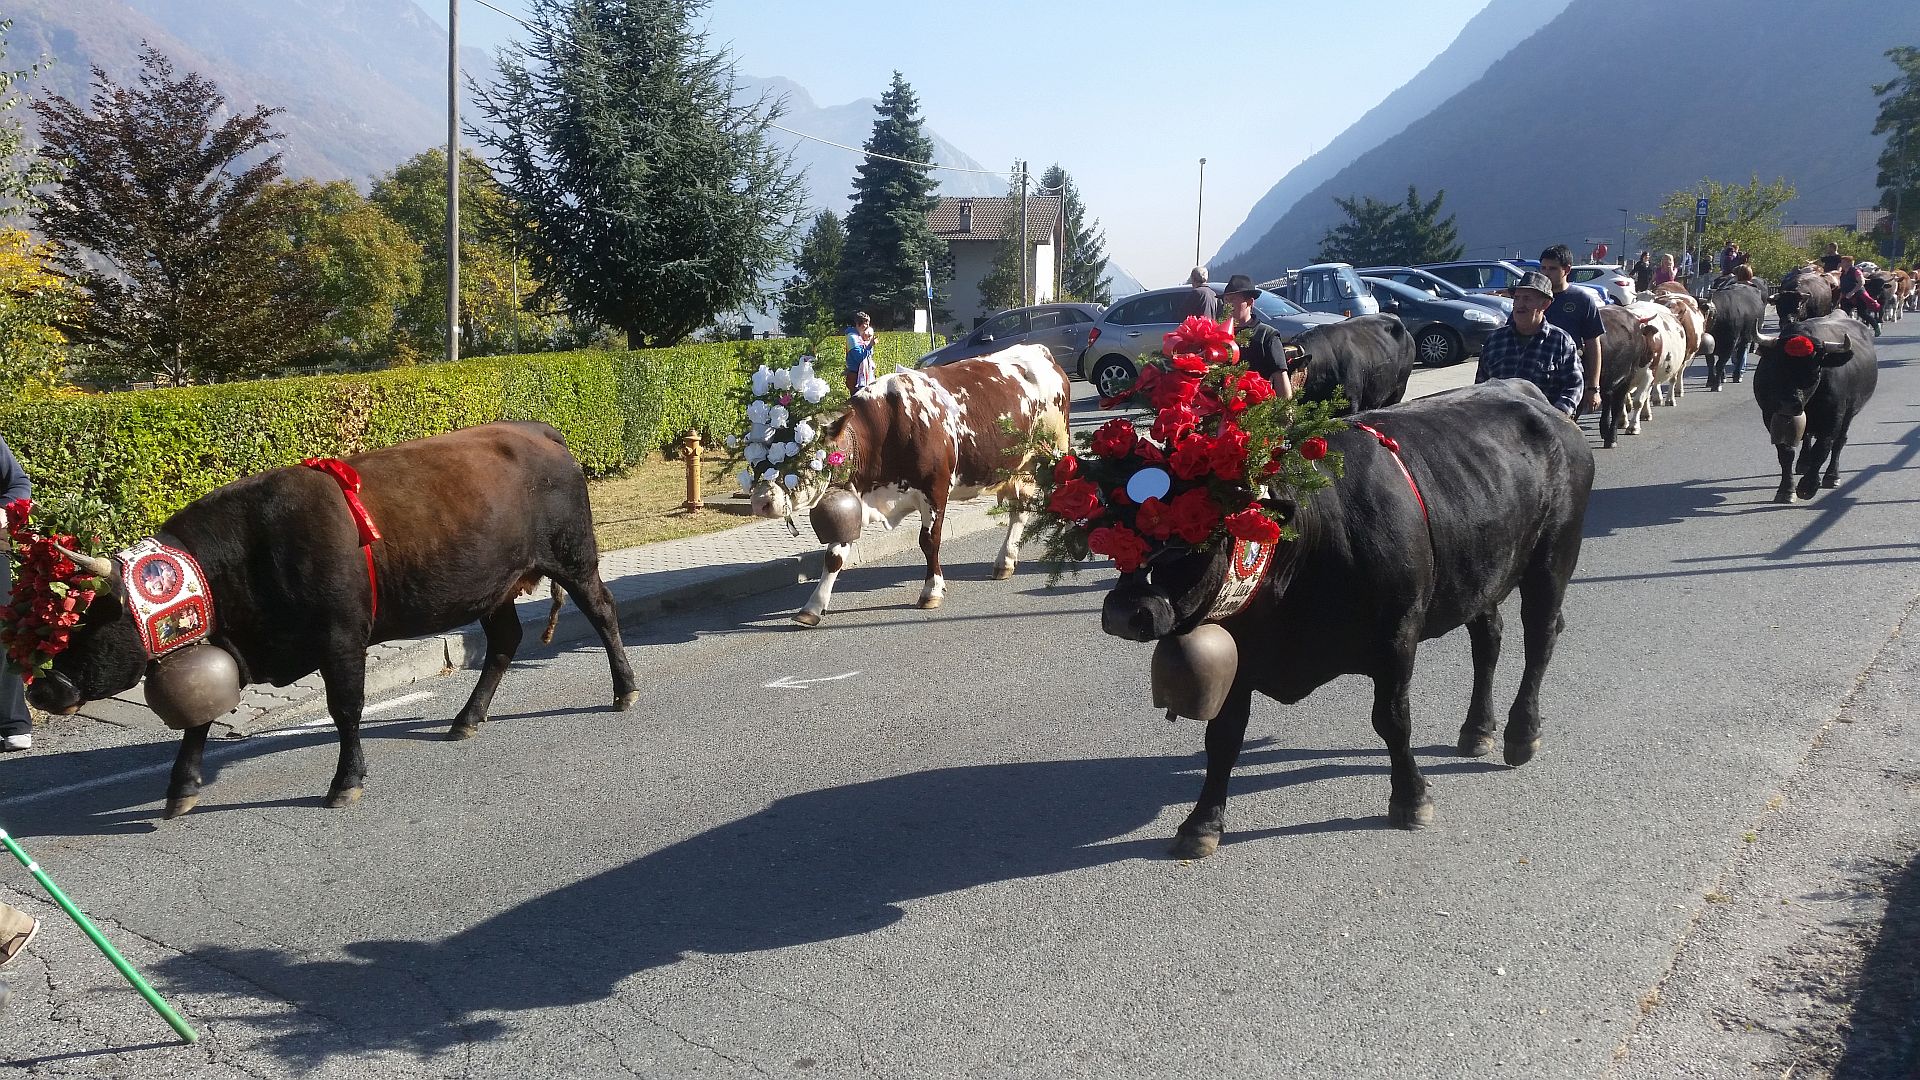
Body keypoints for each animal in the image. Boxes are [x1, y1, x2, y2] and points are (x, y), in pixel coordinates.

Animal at [24, 422, 640, 817]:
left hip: (573, 558)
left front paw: (346, 782)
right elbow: (200, 717)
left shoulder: (342, 636)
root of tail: (538, 431)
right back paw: (467, 718)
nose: (44, 688)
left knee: (603, 611)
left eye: (102, 615)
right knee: (506, 641)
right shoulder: (226, 647)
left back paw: (624, 689)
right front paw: (181, 789)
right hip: (495, 588)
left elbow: (345, 709)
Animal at [751, 345, 1070, 626]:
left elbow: (929, 541)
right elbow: (834, 556)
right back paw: (1005, 561)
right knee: (1020, 510)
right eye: (756, 459)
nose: (760, 501)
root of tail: (1039, 350)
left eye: (802, 456)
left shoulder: (935, 489)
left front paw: (931, 591)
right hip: (1020, 467)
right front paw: (812, 607)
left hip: (1054, 448)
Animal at [1100, 380, 1593, 858]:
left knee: (1540, 639)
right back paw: (1477, 731)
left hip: (1552, 561)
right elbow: (1223, 737)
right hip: (1481, 573)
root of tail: (1535, 399)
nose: (1124, 613)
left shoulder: (1397, 639)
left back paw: (1521, 734)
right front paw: (1202, 823)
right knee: (1488, 640)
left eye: (1188, 532)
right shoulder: (1241, 653)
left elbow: (1392, 720)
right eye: (1113, 532)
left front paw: (1411, 798)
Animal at [1752, 314, 1878, 503]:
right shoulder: (1770, 415)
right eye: (1776, 366)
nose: (1789, 404)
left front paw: (1808, 486)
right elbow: (1786, 452)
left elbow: (1823, 448)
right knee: (1808, 437)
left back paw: (1832, 476)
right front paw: (1786, 490)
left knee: (1839, 442)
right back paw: (1804, 463)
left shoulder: (1834, 417)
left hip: (1849, 413)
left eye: (1815, 370)